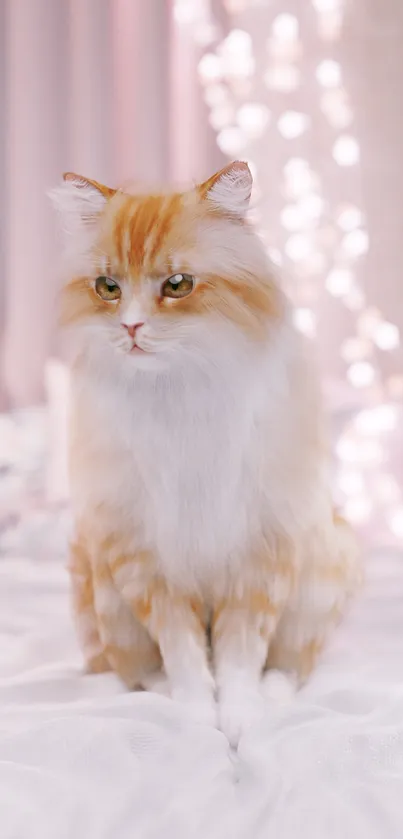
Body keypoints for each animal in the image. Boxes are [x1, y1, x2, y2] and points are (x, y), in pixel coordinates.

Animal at [51, 164, 362, 748]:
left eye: (177, 285)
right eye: (108, 288)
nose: (130, 328)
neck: (181, 388)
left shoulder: (260, 555)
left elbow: (241, 660)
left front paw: (241, 722)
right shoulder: (142, 559)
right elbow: (185, 659)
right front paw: (196, 720)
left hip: (320, 577)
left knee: (290, 667)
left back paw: (272, 698)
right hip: (106, 598)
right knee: (135, 673)